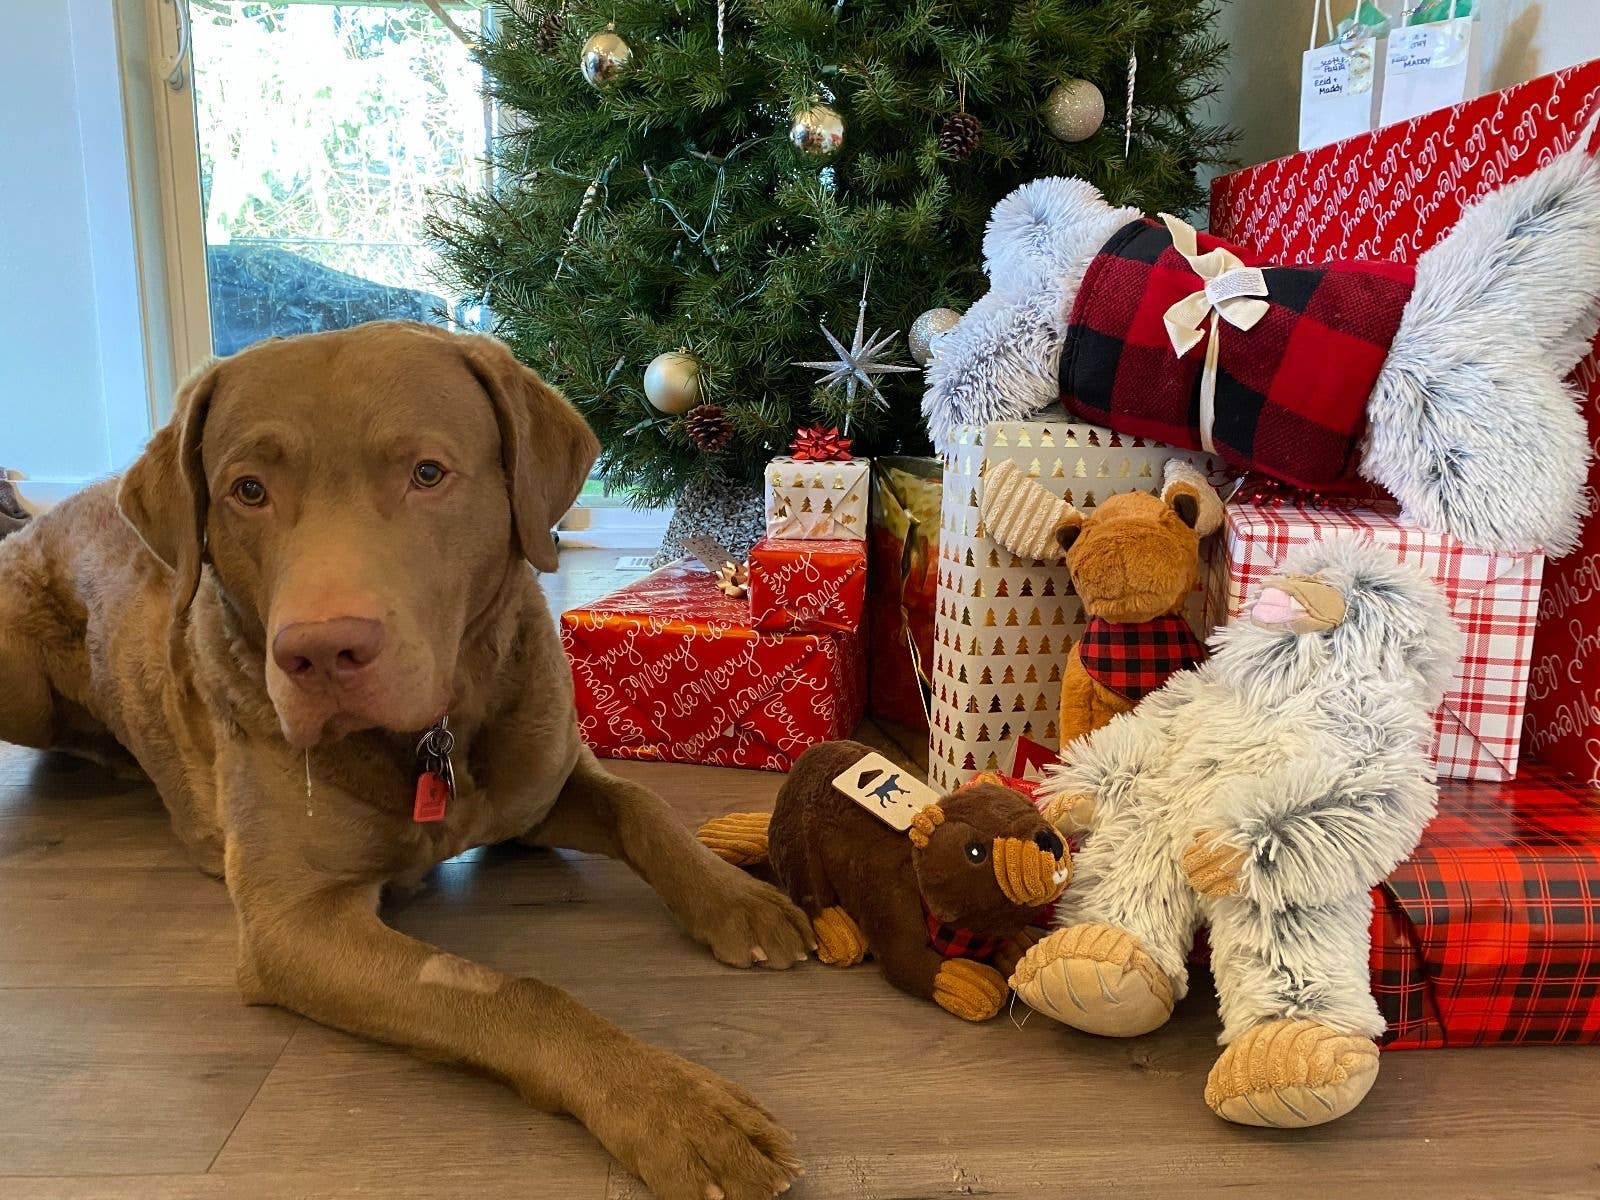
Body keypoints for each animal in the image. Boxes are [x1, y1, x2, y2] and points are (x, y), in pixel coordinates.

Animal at [3, 320, 812, 1200]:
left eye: (428, 473)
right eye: (248, 490)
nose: (321, 652)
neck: (434, 740)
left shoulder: (540, 787)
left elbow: (646, 808)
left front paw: (738, 898)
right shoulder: (293, 925)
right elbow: (507, 989)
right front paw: (674, 1108)